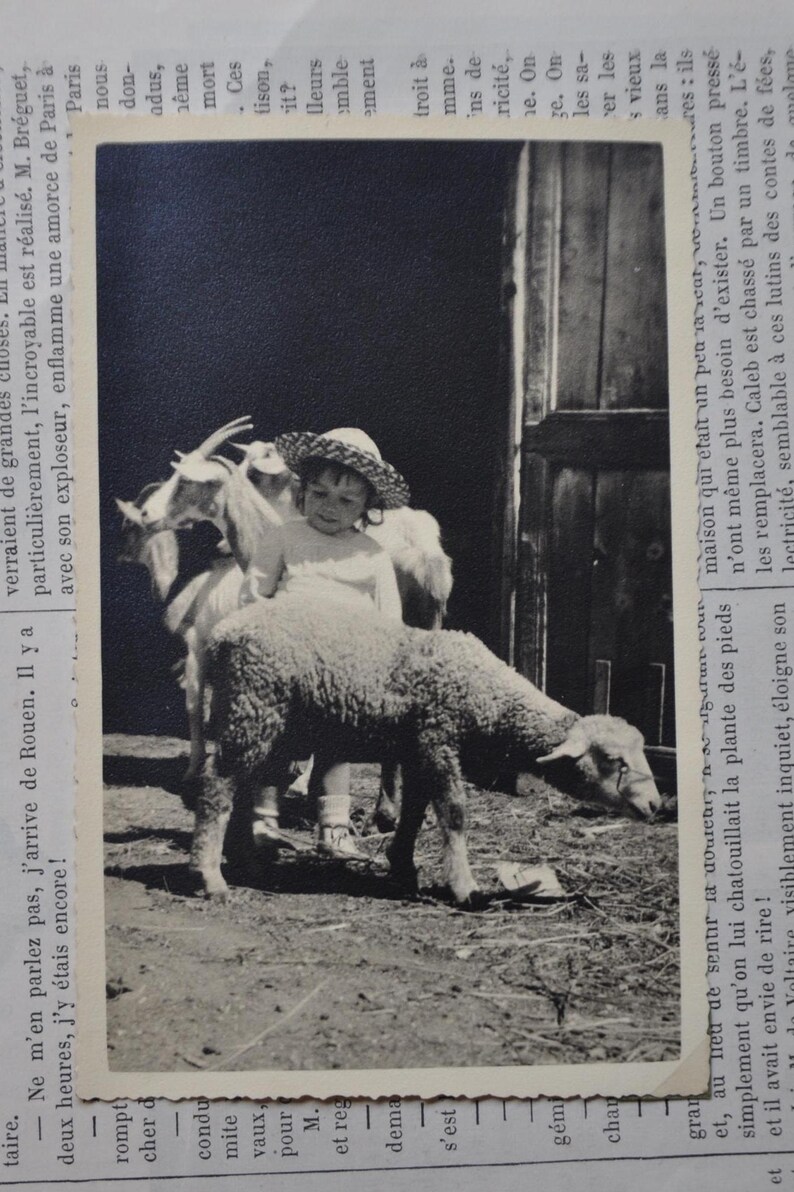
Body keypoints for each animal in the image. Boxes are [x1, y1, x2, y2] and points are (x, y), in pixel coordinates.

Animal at [193, 599, 662, 906]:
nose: (656, 804)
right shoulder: (439, 740)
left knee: (243, 787)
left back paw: (247, 863)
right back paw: (212, 878)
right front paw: (464, 887)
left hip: (268, 726)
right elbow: (454, 815)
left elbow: (416, 813)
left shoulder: (418, 750)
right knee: (216, 789)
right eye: (613, 760)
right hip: (251, 709)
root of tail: (218, 635)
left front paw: (403, 868)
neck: (490, 698)